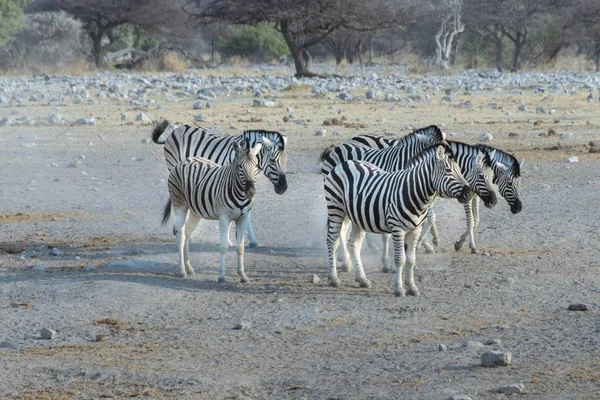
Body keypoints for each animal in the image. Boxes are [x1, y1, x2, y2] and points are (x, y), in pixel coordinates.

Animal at [152, 119, 288, 247]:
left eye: (286, 160)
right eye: (272, 160)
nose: (283, 188)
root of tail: (177, 129)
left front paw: (251, 240)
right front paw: (228, 240)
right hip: (175, 169)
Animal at [161, 139, 262, 282]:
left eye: (256, 167)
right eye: (240, 167)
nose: (251, 192)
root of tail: (185, 160)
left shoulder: (244, 217)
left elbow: (240, 248)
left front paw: (243, 276)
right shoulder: (224, 217)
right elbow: (224, 246)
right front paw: (221, 276)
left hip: (195, 211)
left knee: (187, 234)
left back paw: (189, 268)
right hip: (179, 204)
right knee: (180, 236)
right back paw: (182, 271)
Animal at [324, 145, 474, 296]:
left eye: (460, 170)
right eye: (448, 170)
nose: (470, 194)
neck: (413, 193)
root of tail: (346, 162)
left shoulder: (415, 230)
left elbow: (411, 260)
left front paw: (412, 287)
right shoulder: (398, 229)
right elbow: (400, 259)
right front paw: (399, 288)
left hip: (356, 217)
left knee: (354, 245)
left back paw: (361, 279)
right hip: (336, 209)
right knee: (332, 241)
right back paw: (334, 278)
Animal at [346, 134, 520, 253]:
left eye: (492, 176)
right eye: (509, 183)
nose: (518, 208)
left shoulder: (468, 194)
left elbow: (474, 220)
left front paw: (456, 242)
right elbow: (465, 220)